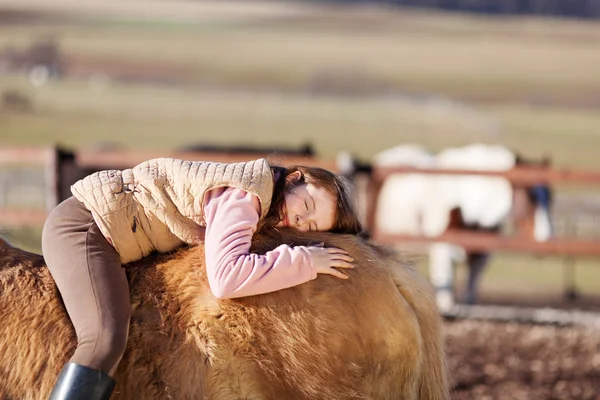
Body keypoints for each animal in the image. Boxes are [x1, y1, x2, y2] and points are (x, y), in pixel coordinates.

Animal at [376, 142, 552, 310]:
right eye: (530, 196)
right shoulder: (443, 251)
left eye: (550, 197)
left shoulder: (480, 256)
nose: (545, 238)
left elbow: (470, 294)